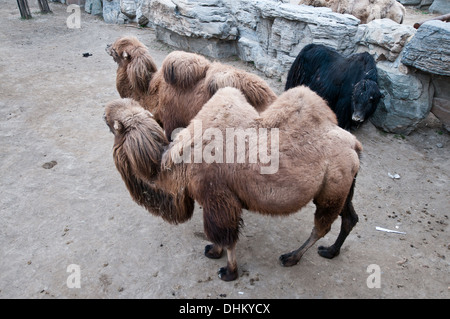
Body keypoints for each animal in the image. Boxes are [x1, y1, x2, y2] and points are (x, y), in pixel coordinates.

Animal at [104, 85, 362, 282]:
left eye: (110, 120)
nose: (103, 111)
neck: (178, 165)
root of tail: (354, 144)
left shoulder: (217, 196)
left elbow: (225, 235)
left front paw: (228, 271)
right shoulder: (217, 201)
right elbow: (218, 234)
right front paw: (213, 251)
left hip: (332, 189)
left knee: (321, 227)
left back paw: (291, 257)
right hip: (343, 186)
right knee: (349, 218)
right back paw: (331, 251)